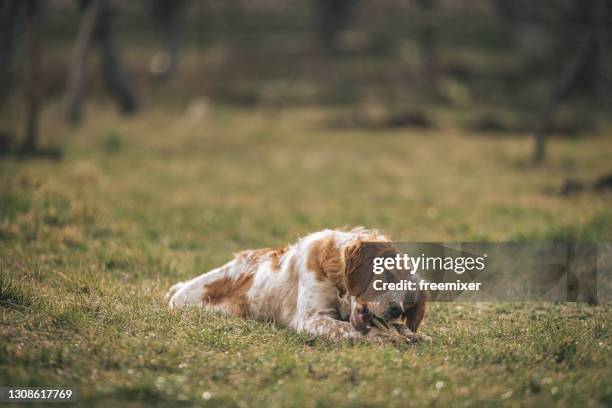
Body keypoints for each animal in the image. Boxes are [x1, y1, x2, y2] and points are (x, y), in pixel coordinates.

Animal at [165, 228, 428, 342]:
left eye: (409, 301)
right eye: (389, 276)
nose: (396, 310)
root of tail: (177, 292)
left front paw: (410, 334)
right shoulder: (311, 319)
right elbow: (356, 330)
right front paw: (391, 337)